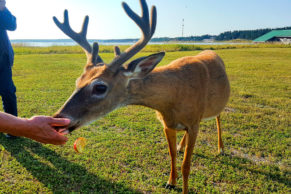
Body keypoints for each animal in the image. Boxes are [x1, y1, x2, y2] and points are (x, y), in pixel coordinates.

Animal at [52, 0, 230, 193]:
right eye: (78, 81)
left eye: (100, 87)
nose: (57, 119)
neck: (173, 98)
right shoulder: (167, 123)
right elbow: (172, 155)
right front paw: (170, 182)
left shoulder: (193, 123)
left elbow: (186, 166)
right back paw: (182, 145)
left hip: (217, 105)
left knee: (218, 118)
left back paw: (221, 148)